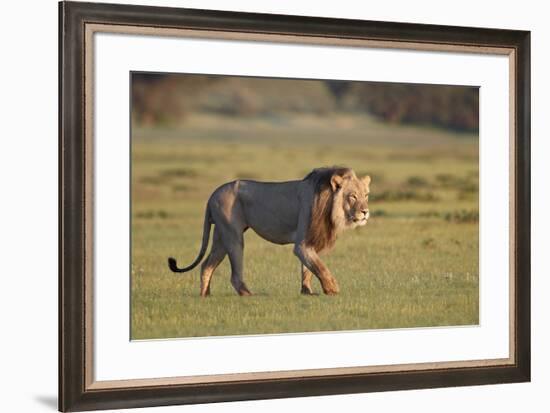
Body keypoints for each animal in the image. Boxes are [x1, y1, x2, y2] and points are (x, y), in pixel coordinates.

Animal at [168, 167, 374, 296]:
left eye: (366, 195)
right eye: (352, 196)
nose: (365, 212)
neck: (330, 206)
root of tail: (212, 195)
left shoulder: (312, 241)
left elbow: (308, 268)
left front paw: (307, 291)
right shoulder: (302, 244)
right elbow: (320, 266)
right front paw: (332, 289)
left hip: (220, 236)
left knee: (206, 265)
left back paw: (205, 296)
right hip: (233, 236)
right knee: (234, 275)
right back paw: (249, 294)